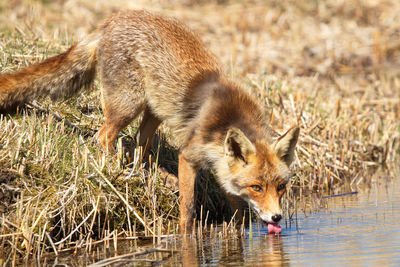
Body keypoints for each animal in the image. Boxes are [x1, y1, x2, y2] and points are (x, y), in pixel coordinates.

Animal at [0, 9, 298, 233]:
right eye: (257, 187)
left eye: (281, 187)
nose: (277, 218)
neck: (227, 119)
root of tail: (112, 20)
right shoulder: (188, 156)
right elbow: (188, 208)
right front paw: (186, 235)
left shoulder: (223, 167)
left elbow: (236, 209)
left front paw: (239, 233)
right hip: (128, 105)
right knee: (104, 136)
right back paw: (114, 170)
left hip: (154, 111)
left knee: (138, 143)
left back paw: (143, 173)